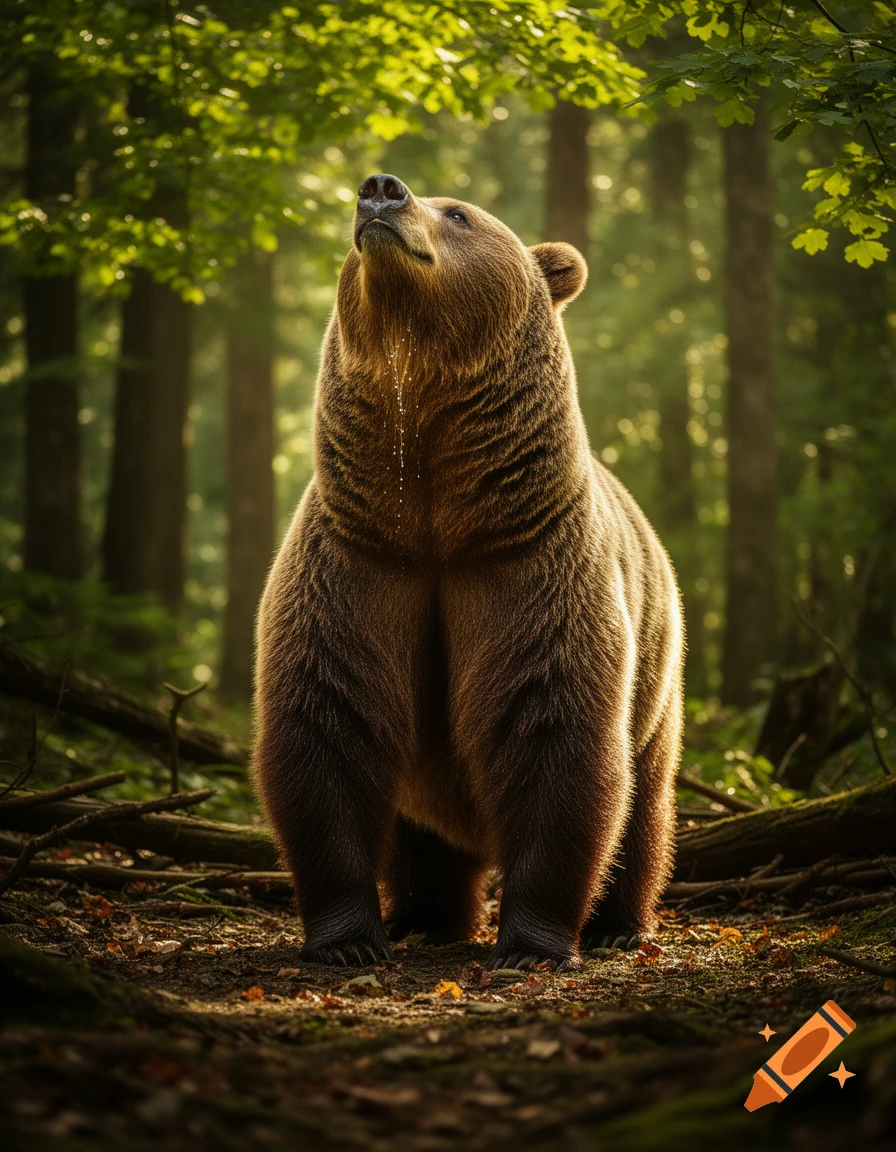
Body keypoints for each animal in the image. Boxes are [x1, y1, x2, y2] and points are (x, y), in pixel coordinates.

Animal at [254, 172, 684, 970]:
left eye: (459, 214)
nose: (381, 190)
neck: (437, 516)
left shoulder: (525, 563)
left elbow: (554, 728)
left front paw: (530, 944)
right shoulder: (360, 562)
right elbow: (326, 720)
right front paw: (348, 939)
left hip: (657, 679)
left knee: (644, 805)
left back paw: (620, 924)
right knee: (421, 837)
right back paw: (423, 916)